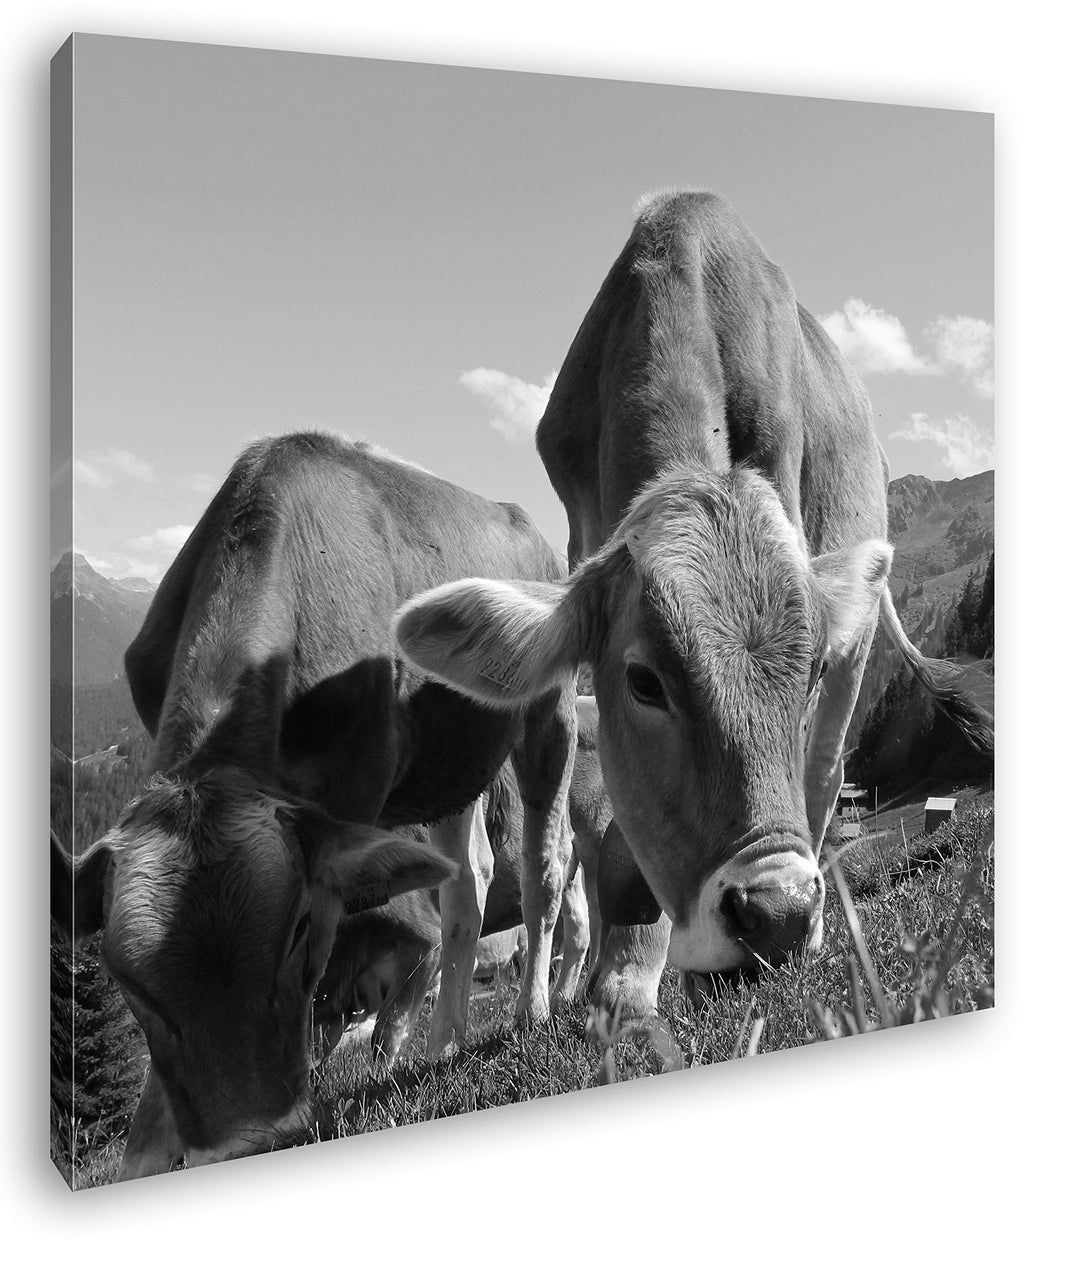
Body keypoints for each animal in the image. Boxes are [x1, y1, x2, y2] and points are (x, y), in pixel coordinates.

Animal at [50, 431, 576, 1179]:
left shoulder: (349, 798)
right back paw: (444, 1041)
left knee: (543, 864)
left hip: (548, 713)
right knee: (466, 884)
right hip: (451, 764)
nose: (248, 1141)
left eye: (297, 929)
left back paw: (533, 1010)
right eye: (125, 980)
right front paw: (148, 1150)